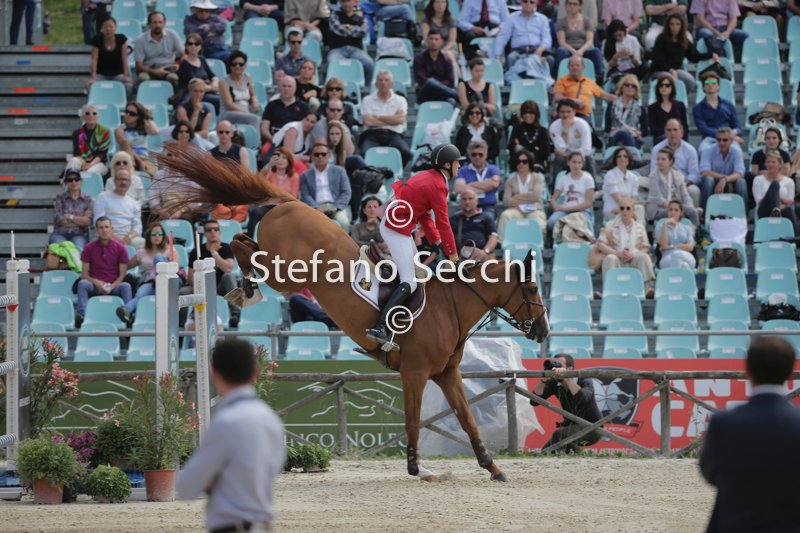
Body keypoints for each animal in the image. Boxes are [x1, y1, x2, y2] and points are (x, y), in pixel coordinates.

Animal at [157, 146, 550, 481]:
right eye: (532, 289)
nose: (544, 332)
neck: (450, 306)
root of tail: (293, 203)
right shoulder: (415, 373)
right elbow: (412, 420)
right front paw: (417, 469)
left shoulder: (446, 374)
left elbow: (468, 420)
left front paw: (493, 467)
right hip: (286, 273)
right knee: (242, 245)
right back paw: (248, 291)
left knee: (243, 241)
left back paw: (244, 288)